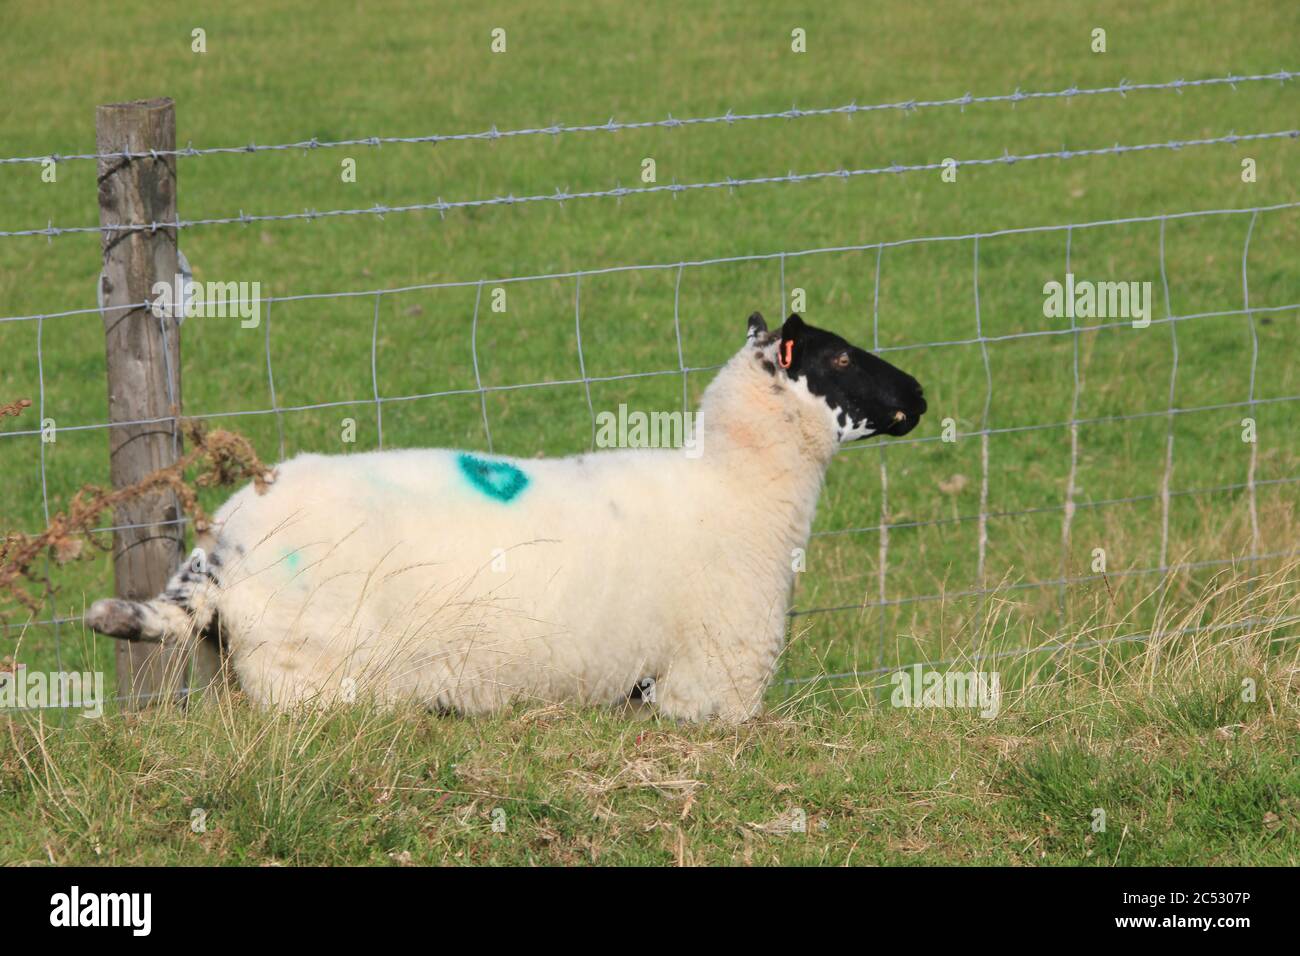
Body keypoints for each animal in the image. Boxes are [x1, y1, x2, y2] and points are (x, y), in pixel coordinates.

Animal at [86, 310, 925, 723]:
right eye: (838, 359)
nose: (919, 394)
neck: (734, 485)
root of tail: (219, 551)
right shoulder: (707, 683)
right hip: (305, 679)